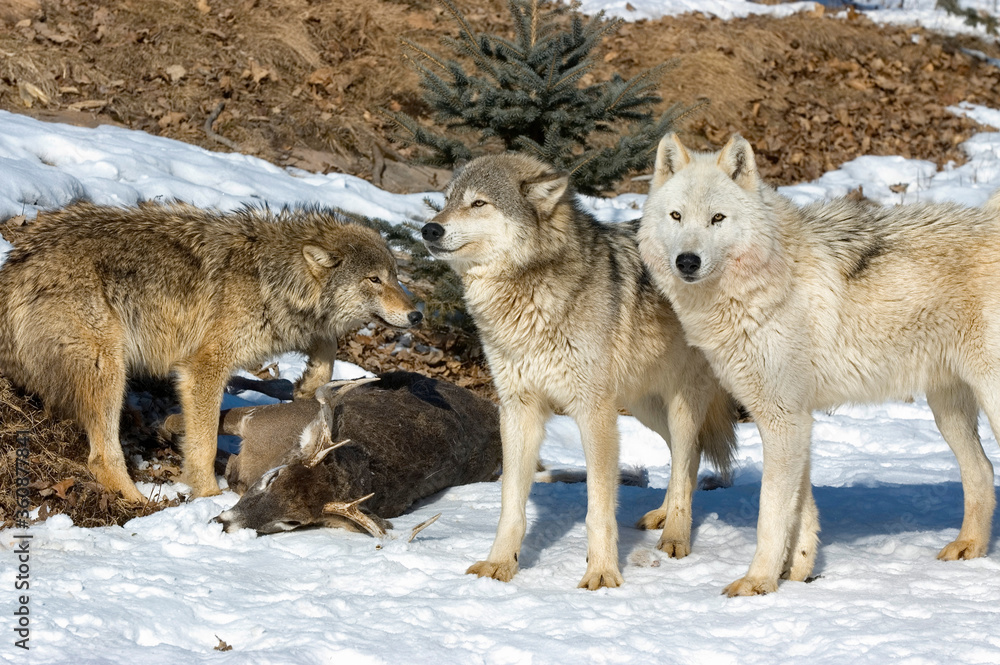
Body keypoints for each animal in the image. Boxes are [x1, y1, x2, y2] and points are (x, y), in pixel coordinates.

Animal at [0, 202, 421, 503]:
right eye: (374, 279)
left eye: (396, 276)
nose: (417, 314)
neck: (271, 279)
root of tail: (15, 265)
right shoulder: (203, 366)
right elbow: (202, 443)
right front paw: (208, 494)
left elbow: (327, 348)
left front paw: (306, 386)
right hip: (109, 368)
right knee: (101, 457)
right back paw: (142, 503)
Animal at [420, 153, 739, 589]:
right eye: (446, 201)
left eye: (479, 203)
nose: (428, 229)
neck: (530, 292)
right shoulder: (518, 410)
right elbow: (510, 506)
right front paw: (499, 564)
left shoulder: (594, 413)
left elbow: (598, 510)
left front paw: (602, 572)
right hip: (645, 409)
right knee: (683, 462)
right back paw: (662, 517)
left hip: (679, 405)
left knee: (687, 457)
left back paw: (676, 535)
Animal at [638, 132, 1000, 596]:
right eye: (676, 216)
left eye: (717, 218)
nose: (687, 261)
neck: (765, 283)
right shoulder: (795, 417)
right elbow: (801, 509)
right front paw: (797, 573)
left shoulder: (782, 418)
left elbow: (771, 514)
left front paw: (757, 582)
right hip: (948, 411)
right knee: (982, 471)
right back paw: (968, 547)